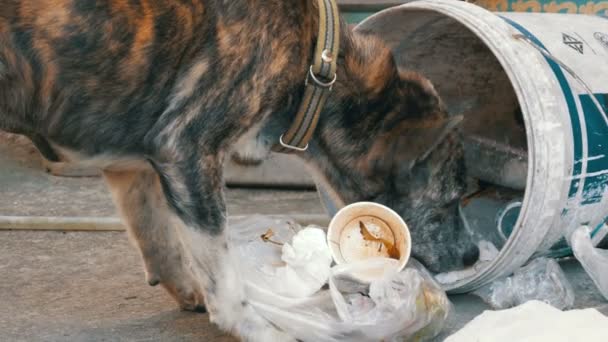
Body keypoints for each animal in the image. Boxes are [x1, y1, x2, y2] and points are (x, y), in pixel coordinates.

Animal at [0, 0, 476, 340]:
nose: (473, 254)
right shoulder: (187, 150)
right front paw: (257, 329)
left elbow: (159, 239)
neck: (316, 63)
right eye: (449, 201)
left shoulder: (133, 165)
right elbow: (225, 277)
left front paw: (190, 291)